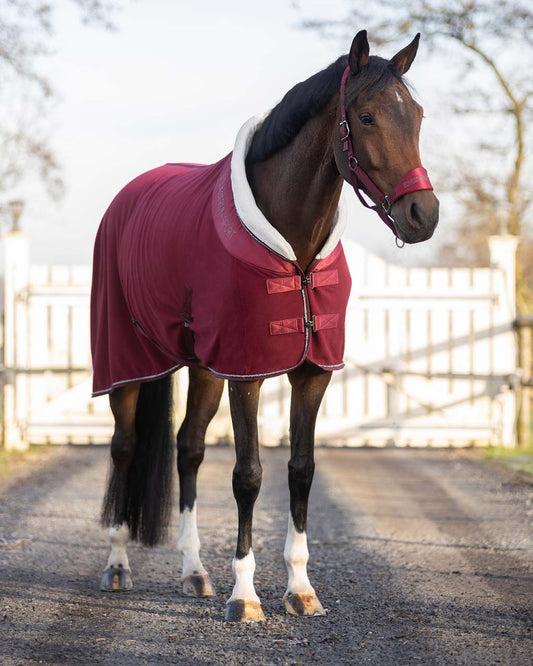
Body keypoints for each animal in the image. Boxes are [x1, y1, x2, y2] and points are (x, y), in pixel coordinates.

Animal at [91, 29, 438, 624]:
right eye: (367, 116)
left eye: (415, 115)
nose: (424, 214)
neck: (293, 250)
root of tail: (128, 197)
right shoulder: (247, 373)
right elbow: (248, 476)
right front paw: (245, 595)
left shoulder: (311, 372)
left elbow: (300, 470)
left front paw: (300, 588)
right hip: (127, 364)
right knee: (125, 446)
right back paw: (117, 566)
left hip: (205, 367)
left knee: (188, 450)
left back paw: (194, 572)